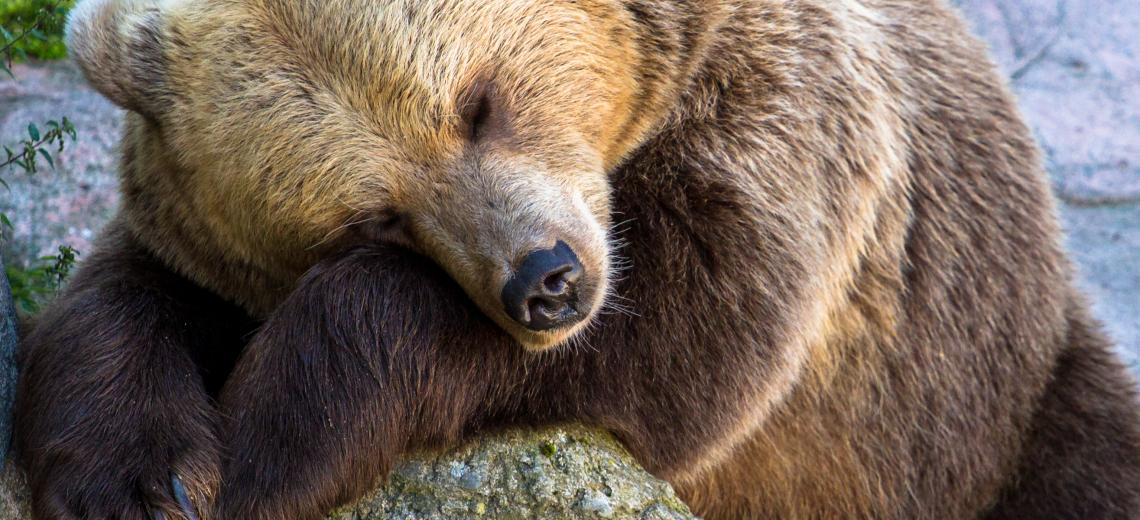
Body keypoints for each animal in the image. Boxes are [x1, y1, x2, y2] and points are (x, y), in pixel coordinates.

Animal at [8, 0, 1140, 517]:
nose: (545, 280)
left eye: (477, 101)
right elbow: (129, 293)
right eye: (372, 215)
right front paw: (139, 474)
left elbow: (687, 333)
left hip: (990, 392)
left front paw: (265, 439)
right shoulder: (195, 224)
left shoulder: (781, 129)